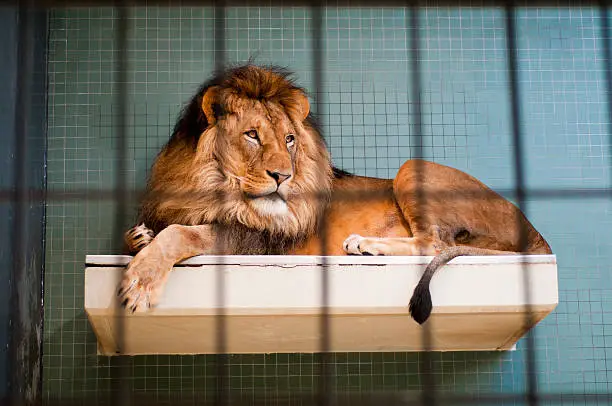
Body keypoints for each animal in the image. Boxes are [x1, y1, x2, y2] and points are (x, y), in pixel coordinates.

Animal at [117, 63, 552, 324]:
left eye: (290, 140)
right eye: (252, 135)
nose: (284, 176)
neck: (209, 186)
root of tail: (535, 233)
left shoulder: (250, 243)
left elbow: (182, 233)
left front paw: (139, 282)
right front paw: (140, 236)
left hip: (411, 167)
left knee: (434, 242)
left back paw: (365, 245)